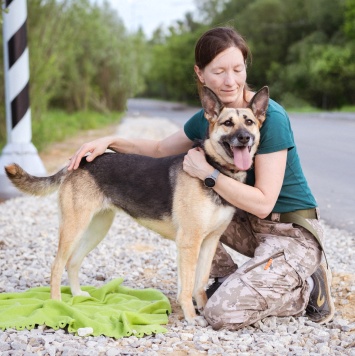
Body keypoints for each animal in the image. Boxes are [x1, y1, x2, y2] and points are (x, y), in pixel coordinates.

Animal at [5, 85, 268, 326]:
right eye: (227, 123)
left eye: (249, 122)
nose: (244, 137)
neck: (215, 170)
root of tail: (79, 162)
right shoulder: (189, 242)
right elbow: (186, 287)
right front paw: (192, 317)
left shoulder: (209, 241)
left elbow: (200, 283)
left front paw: (203, 309)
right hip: (74, 228)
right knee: (57, 265)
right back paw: (57, 304)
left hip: (97, 229)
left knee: (73, 262)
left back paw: (78, 295)